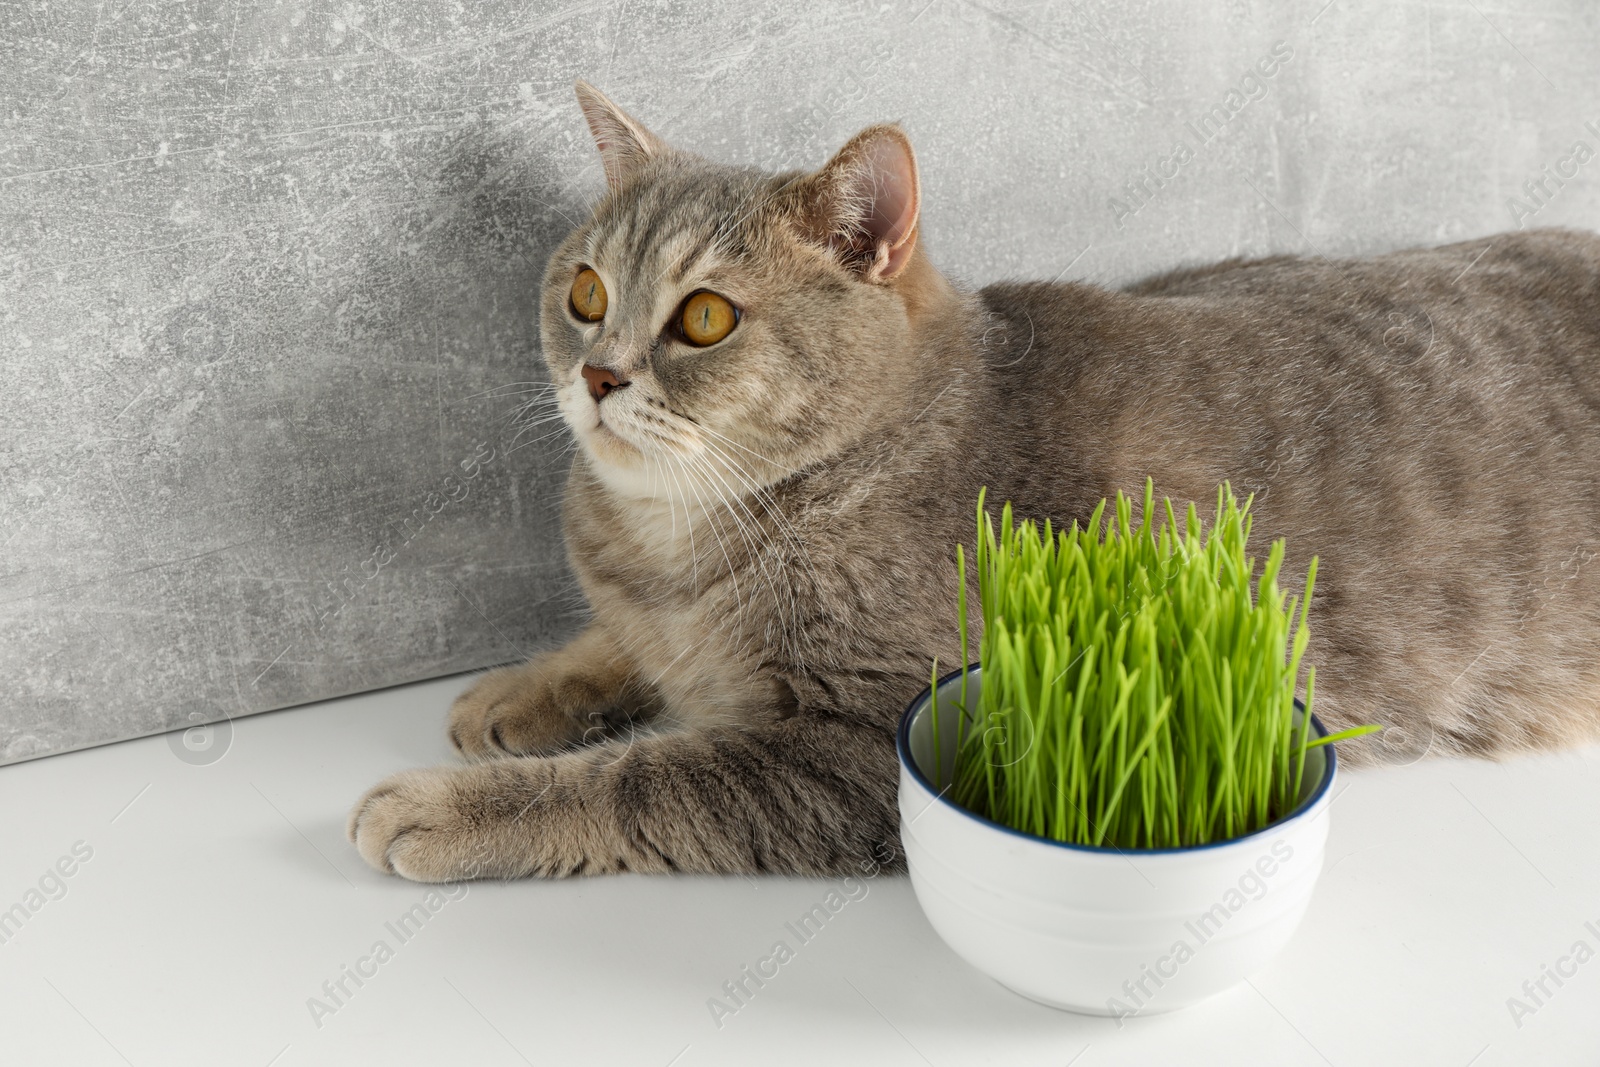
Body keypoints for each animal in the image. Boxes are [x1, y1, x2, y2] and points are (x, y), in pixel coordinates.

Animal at [350, 79, 1600, 883]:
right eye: (586, 291)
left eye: (704, 316)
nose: (600, 372)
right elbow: (620, 646)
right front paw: (528, 686)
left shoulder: (867, 746)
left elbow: (638, 780)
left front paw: (445, 807)